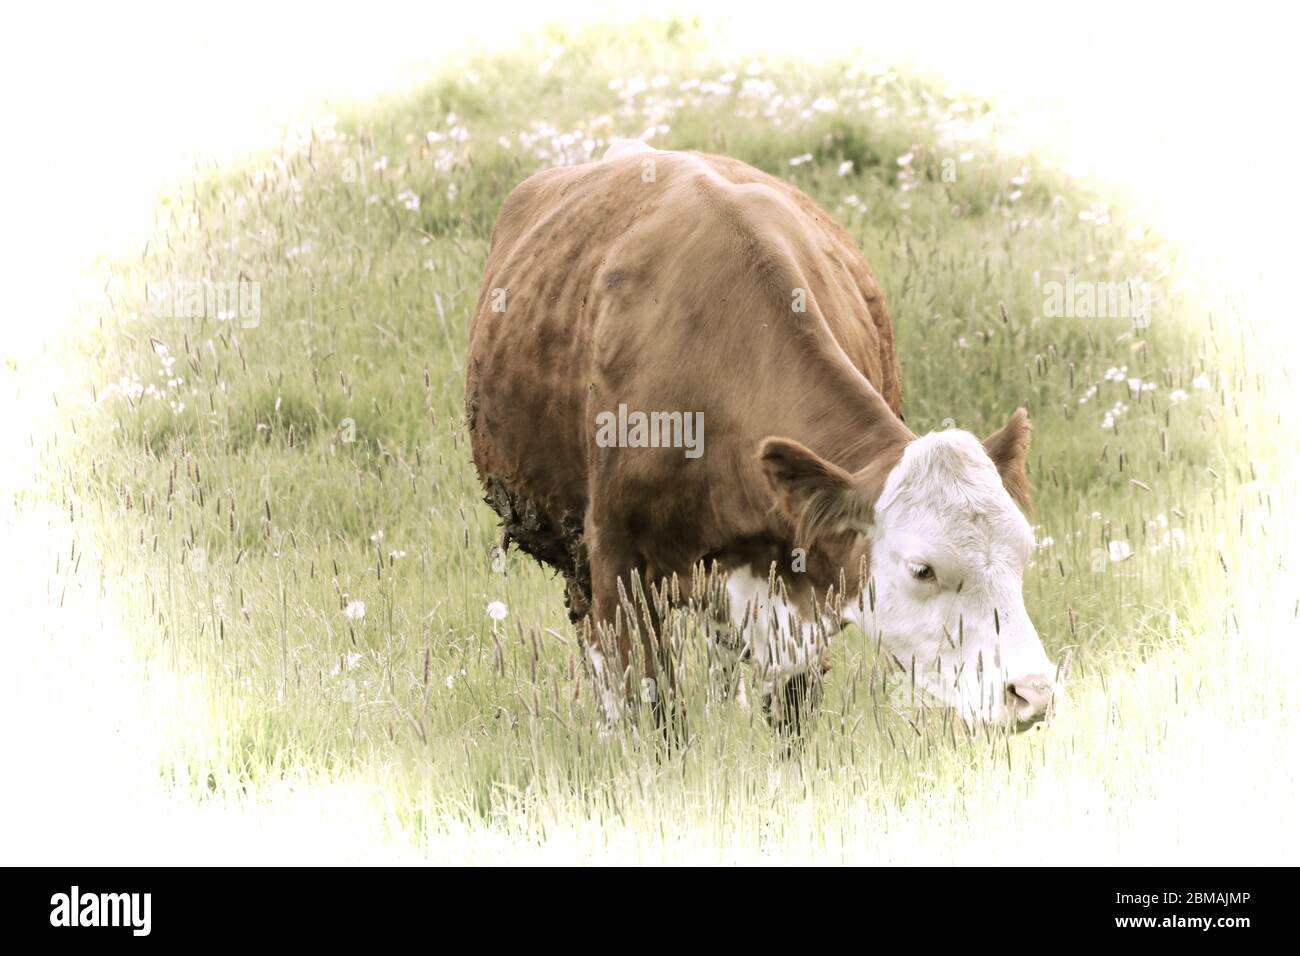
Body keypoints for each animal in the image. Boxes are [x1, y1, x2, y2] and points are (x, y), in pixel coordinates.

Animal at [467, 141, 1055, 738]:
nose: (1031, 693)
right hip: (573, 554)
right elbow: (651, 711)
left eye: (1023, 553)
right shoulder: (616, 565)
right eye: (923, 569)